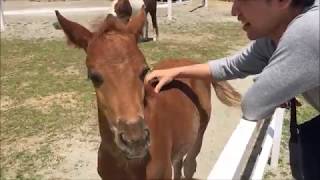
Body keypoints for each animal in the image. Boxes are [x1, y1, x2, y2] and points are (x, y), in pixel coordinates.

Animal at [55, 7, 240, 180]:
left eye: (144, 71)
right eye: (93, 77)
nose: (135, 140)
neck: (127, 164)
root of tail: (193, 63)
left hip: (199, 135)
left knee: (189, 165)